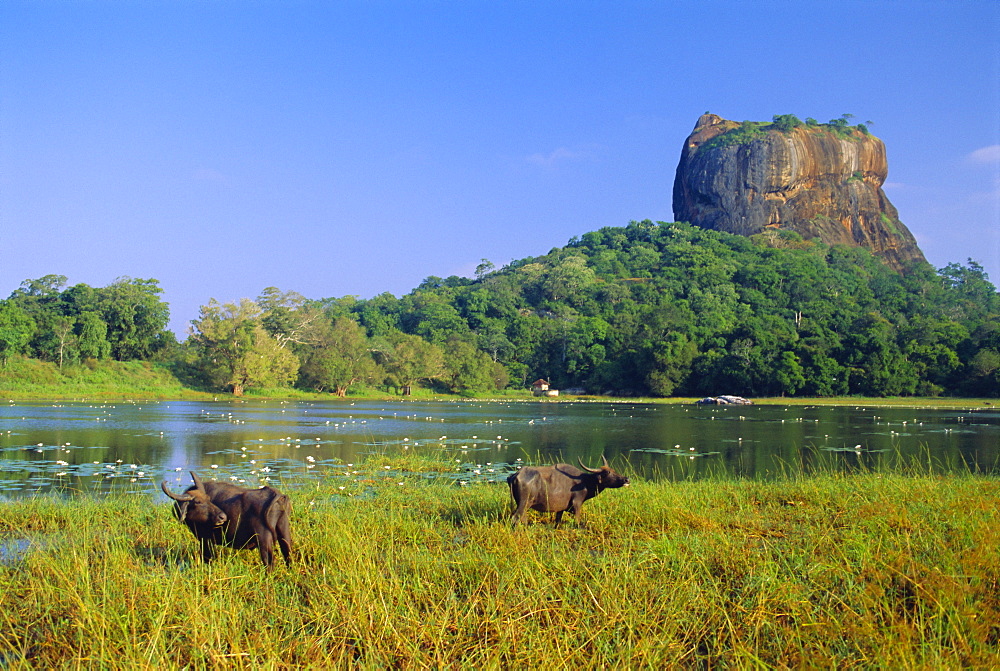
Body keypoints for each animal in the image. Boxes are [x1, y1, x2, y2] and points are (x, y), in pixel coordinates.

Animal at [161, 470, 292, 568]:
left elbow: (208, 558)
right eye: (198, 501)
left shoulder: (205, 540)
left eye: (208, 498)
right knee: (288, 553)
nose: (222, 517)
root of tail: (277, 495)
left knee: (269, 562)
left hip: (264, 539)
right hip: (284, 531)